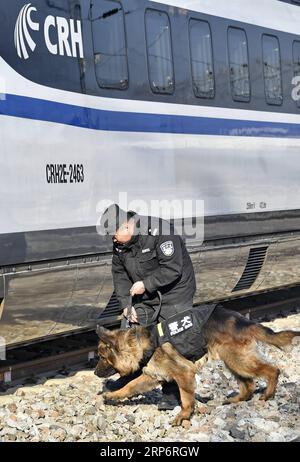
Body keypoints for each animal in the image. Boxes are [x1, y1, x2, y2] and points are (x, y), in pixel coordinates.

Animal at [94, 304, 300, 428]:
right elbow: (130, 386)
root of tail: (242, 321)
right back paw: (236, 400)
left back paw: (267, 394)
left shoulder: (184, 374)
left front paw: (184, 416)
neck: (141, 344)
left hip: (238, 360)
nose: (95, 373)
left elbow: (186, 398)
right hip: (232, 361)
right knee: (249, 384)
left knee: (272, 370)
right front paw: (113, 395)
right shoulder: (152, 376)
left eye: (102, 357)